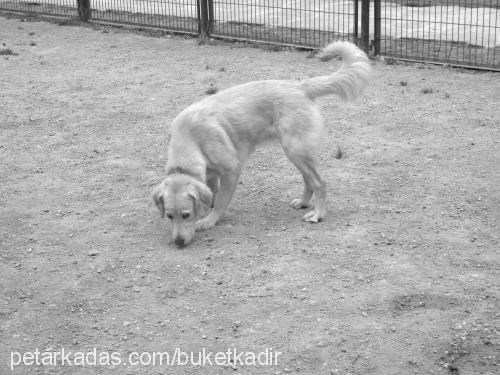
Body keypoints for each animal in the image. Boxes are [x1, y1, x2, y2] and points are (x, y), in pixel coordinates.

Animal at [153, 41, 372, 247]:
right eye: (169, 216)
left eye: (186, 215)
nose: (178, 242)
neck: (190, 139)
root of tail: (301, 86)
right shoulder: (211, 174)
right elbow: (213, 194)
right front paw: (208, 209)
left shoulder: (231, 170)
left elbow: (222, 201)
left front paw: (209, 220)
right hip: (298, 153)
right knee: (308, 180)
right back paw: (303, 202)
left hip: (295, 150)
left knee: (319, 182)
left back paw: (318, 214)